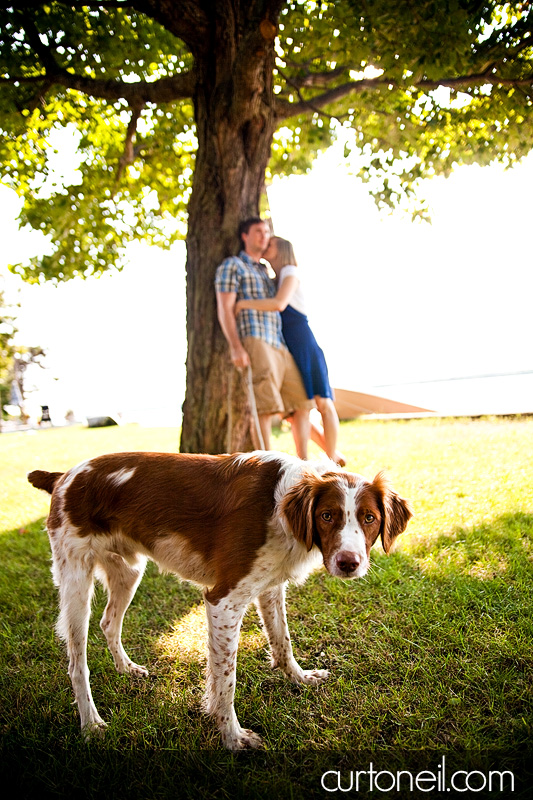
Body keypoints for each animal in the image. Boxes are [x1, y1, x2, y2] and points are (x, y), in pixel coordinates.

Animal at [28, 450, 412, 752]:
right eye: (327, 515)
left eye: (369, 518)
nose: (349, 563)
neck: (279, 510)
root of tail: (65, 476)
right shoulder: (222, 601)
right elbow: (226, 679)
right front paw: (232, 737)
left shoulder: (269, 588)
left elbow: (282, 641)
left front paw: (299, 678)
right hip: (75, 583)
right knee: (77, 664)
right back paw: (91, 723)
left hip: (129, 571)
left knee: (109, 622)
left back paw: (127, 669)